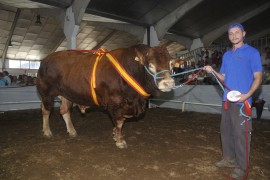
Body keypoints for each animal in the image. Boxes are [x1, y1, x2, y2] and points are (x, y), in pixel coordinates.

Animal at [36, 44, 175, 148]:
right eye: (150, 65)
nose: (168, 83)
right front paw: (119, 140)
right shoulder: (115, 103)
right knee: (46, 111)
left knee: (64, 110)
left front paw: (115, 135)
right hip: (47, 93)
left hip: (66, 94)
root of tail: (46, 60)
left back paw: (72, 131)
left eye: (170, 64)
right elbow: (119, 122)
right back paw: (47, 131)